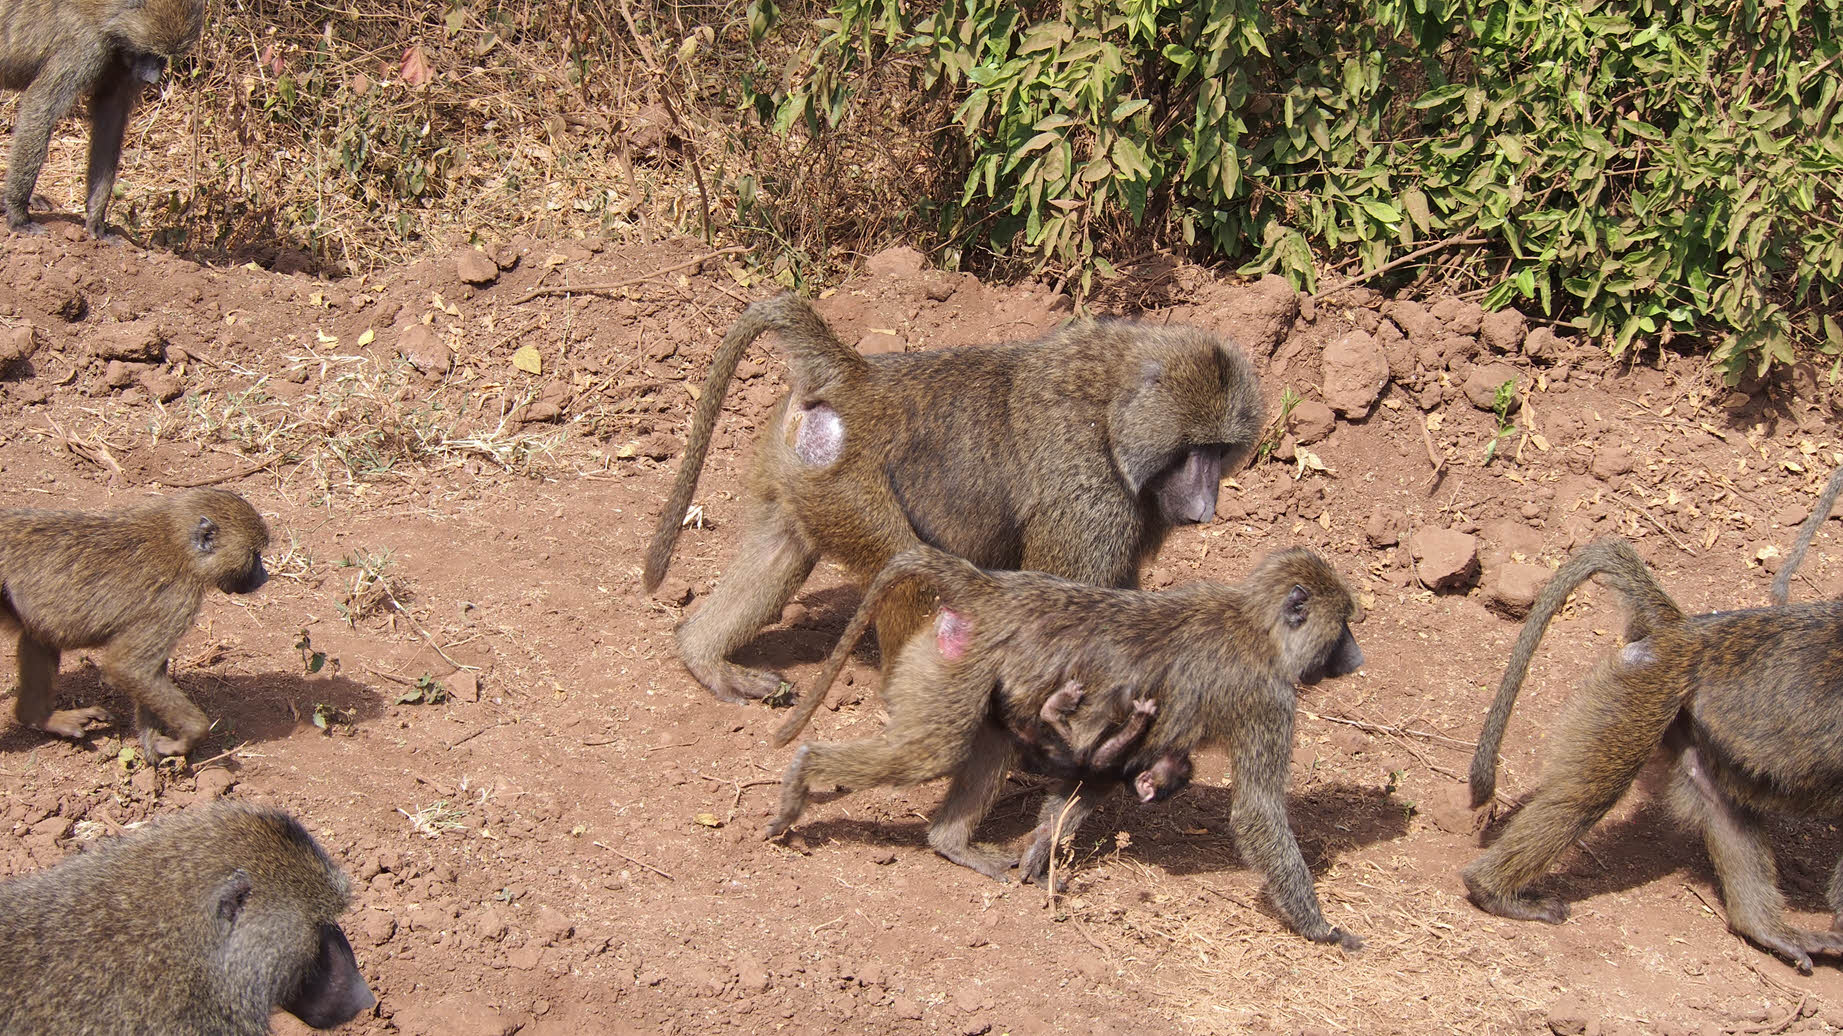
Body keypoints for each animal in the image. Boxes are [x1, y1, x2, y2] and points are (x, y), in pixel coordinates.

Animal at [0, 0, 204, 237]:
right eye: (150, 52)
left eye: (165, 56)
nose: (152, 79)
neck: (108, 15)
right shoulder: (84, 47)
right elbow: (41, 104)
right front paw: (18, 216)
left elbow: (111, 115)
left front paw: (96, 220)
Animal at [0, 487, 270, 759]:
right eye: (254, 554)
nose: (264, 576)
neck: (176, 542)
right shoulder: (174, 601)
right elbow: (128, 667)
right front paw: (188, 739)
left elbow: (146, 672)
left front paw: (151, 744)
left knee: (39, 637)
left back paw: (39, 718)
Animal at [641, 293, 1265, 703]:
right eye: (1193, 450)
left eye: (1220, 451)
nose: (1204, 509)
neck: (1112, 404)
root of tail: (857, 377)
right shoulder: (1088, 492)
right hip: (849, 485)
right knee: (905, 573)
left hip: (802, 473)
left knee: (781, 550)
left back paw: (704, 659)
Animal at [766, 543, 1367, 948]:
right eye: (1343, 628)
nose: (1358, 659)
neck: (1255, 625)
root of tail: (994, 589)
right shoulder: (1269, 700)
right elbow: (1257, 812)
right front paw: (1323, 929)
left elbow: (1089, 780)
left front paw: (1040, 855)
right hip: (960, 666)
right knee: (932, 751)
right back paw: (802, 777)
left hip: (969, 665)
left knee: (988, 747)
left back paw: (951, 843)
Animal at [1463, 536, 1843, 973]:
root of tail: (1683, 631)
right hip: (1644, 687)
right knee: (1586, 798)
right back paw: (1491, 891)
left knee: (1721, 803)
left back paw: (1762, 928)